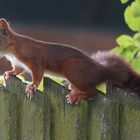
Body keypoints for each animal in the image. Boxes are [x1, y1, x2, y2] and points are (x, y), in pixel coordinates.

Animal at [0, 18, 140, 104]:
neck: (12, 48)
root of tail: (102, 70)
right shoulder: (18, 63)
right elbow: (17, 70)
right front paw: (8, 73)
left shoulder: (34, 59)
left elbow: (38, 74)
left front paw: (32, 87)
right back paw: (74, 90)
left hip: (73, 70)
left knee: (94, 92)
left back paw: (76, 96)